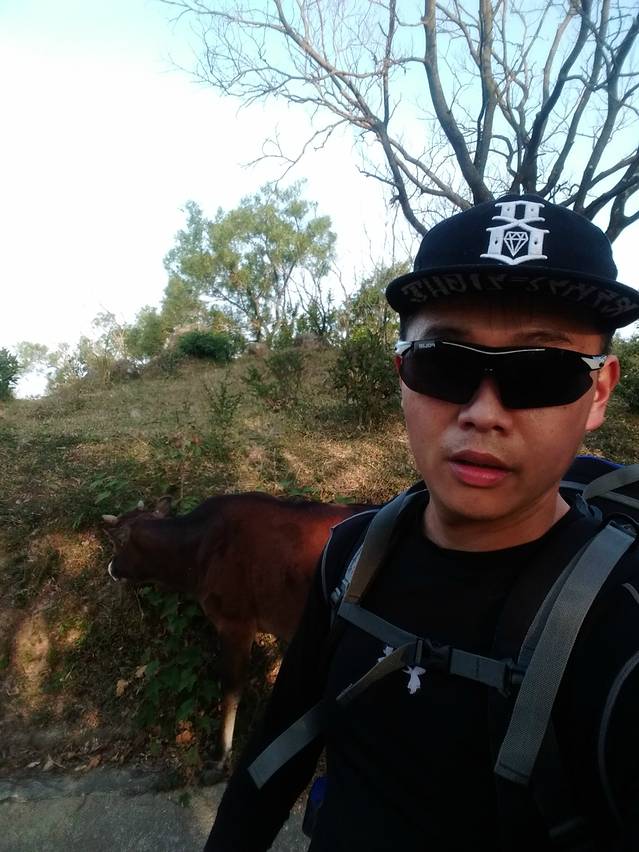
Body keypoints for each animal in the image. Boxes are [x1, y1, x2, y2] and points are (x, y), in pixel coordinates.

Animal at [103, 492, 371, 775]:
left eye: (117, 544)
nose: (111, 567)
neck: (193, 565)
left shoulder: (236, 620)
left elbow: (232, 688)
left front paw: (220, 755)